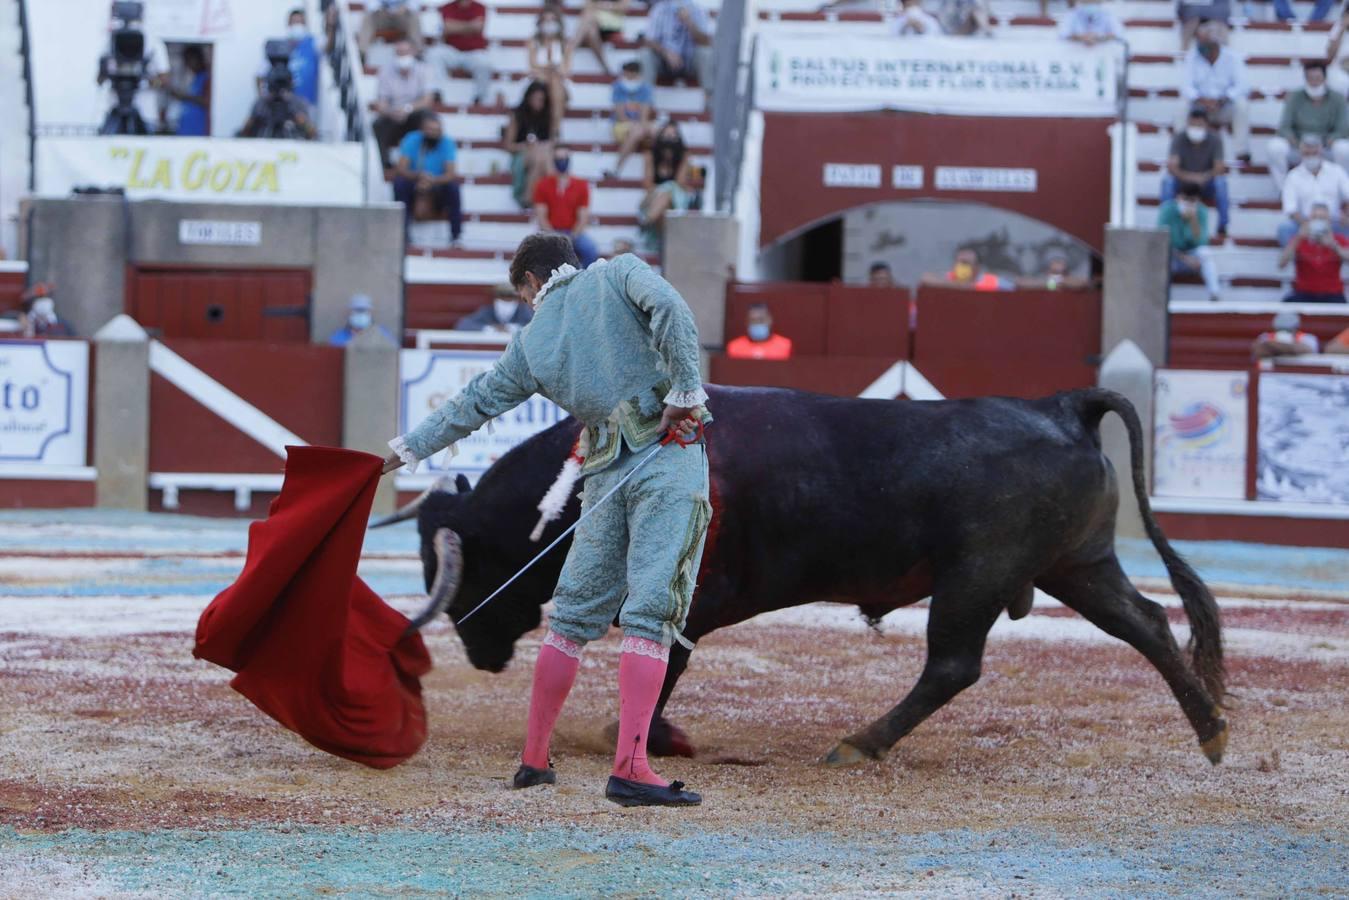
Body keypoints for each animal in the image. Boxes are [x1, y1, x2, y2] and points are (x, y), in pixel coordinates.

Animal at [377, 385, 1224, 766]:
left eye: (464, 566)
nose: (475, 648)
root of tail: (1059, 405)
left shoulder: (680, 597)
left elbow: (664, 661)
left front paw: (646, 735)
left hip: (976, 578)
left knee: (951, 664)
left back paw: (859, 743)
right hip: (1076, 565)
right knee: (1147, 623)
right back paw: (1211, 728)